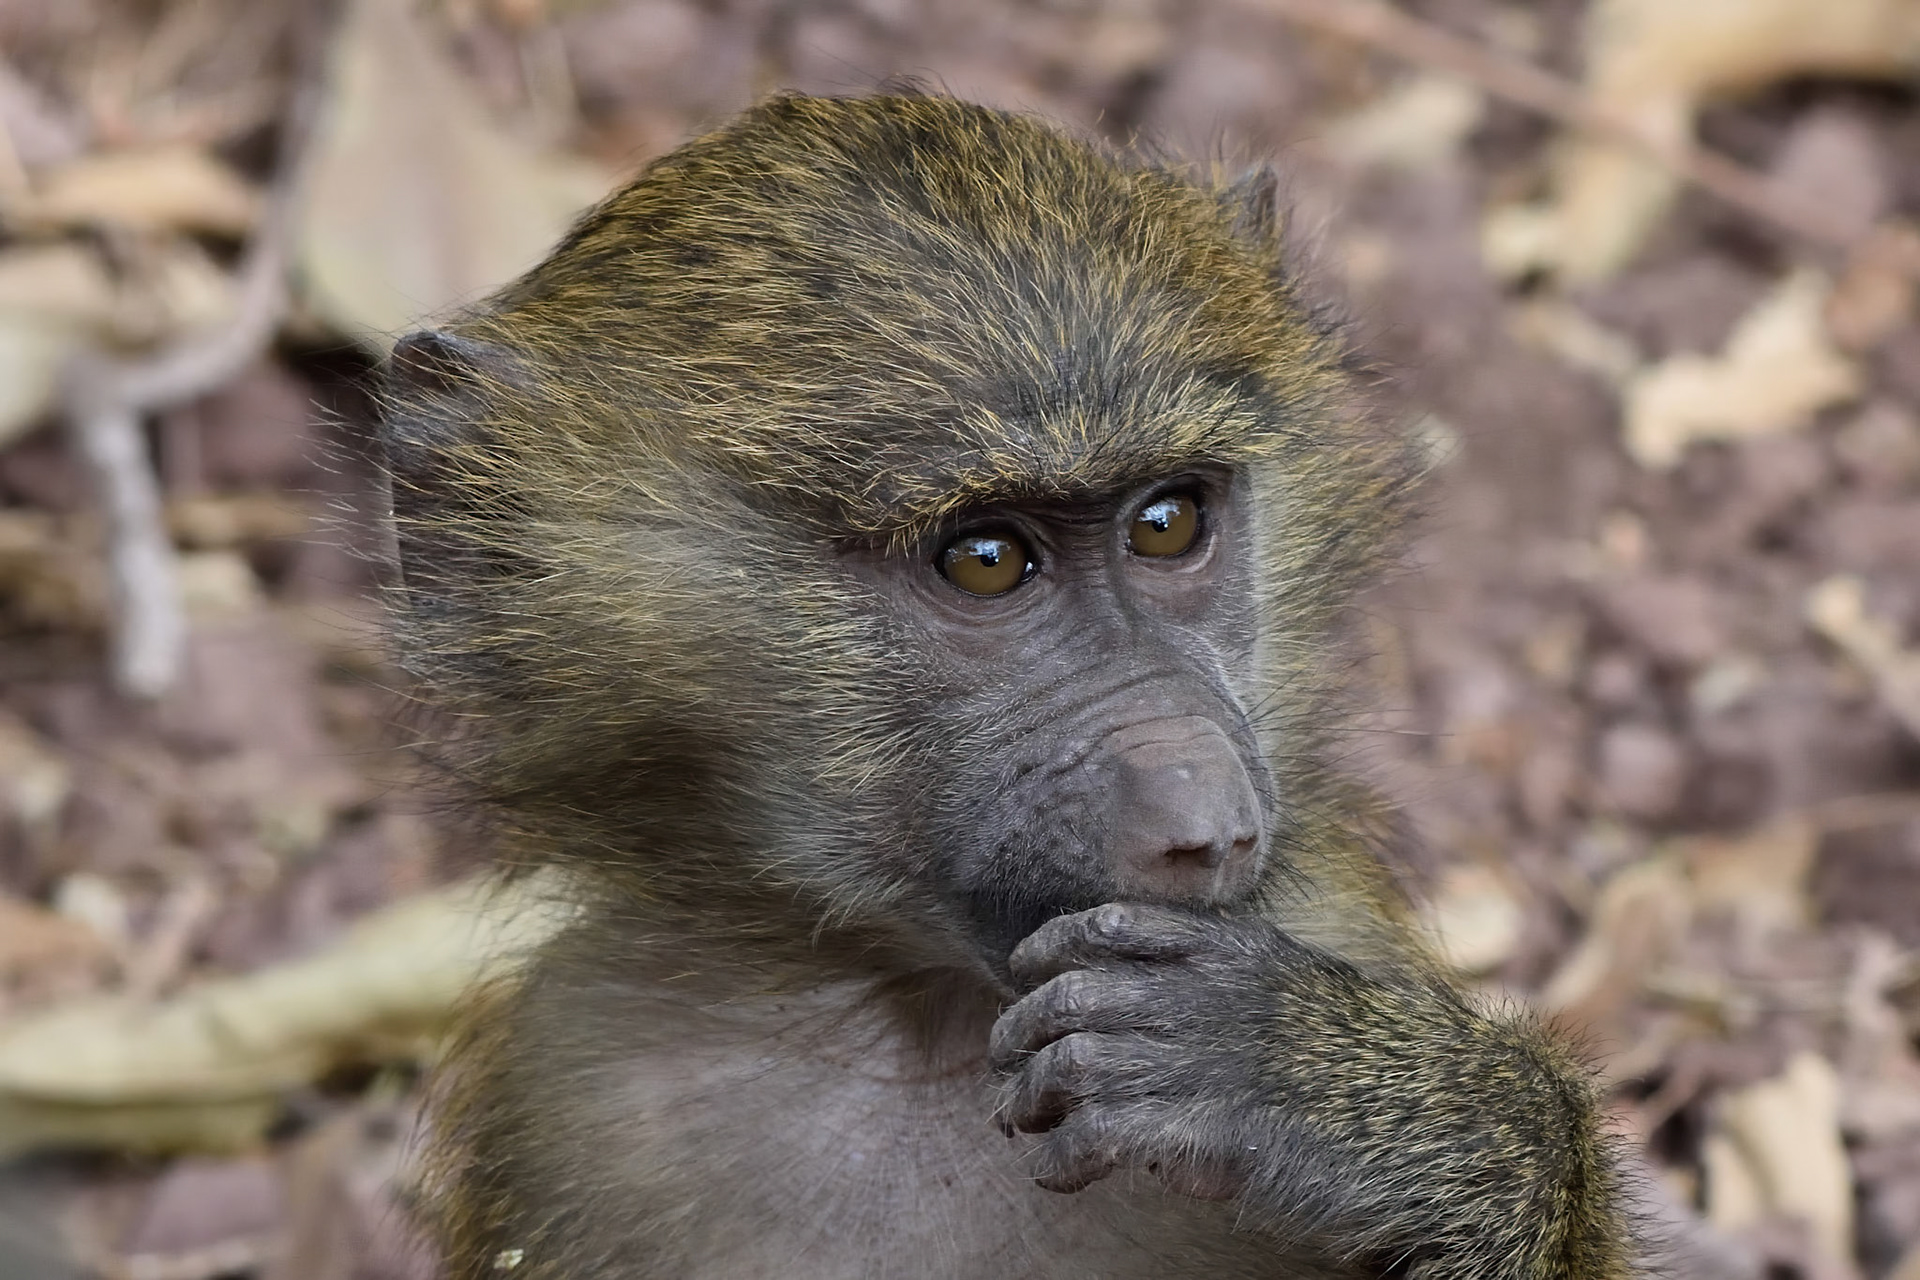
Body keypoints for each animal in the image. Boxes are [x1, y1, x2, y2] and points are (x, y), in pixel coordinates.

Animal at [378, 93, 1634, 1279]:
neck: (919, 1021)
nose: (1205, 823)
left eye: (1167, 523)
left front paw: (1325, 1087)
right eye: (984, 558)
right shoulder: (567, 1095)